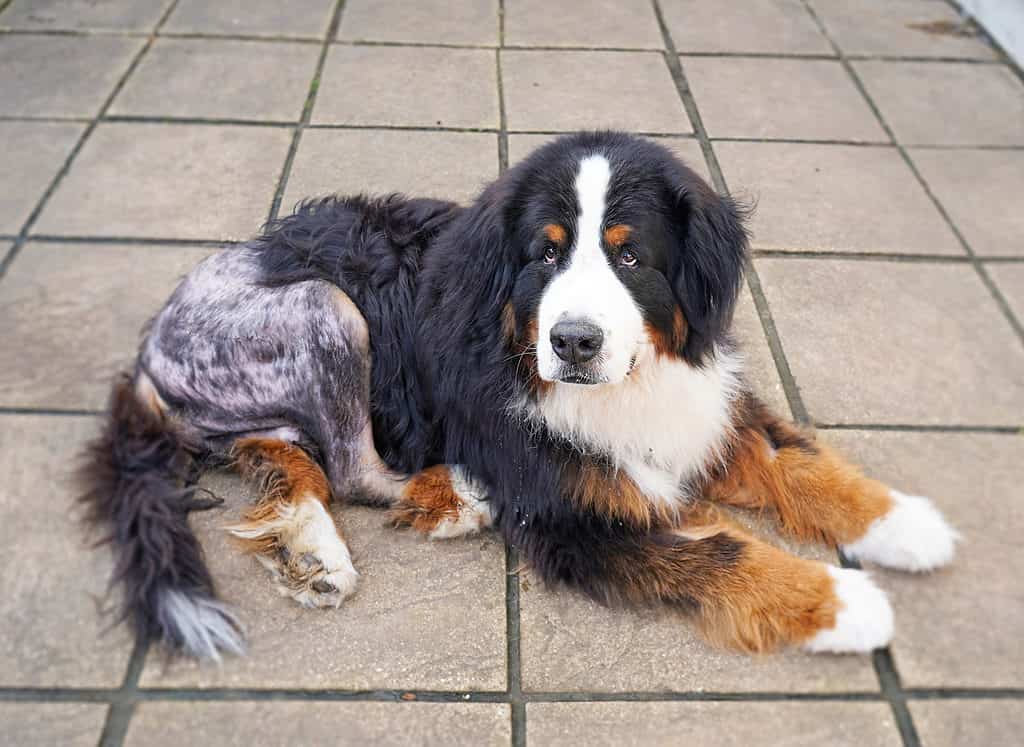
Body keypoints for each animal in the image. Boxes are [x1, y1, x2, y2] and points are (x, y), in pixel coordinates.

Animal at [79, 129, 958, 659]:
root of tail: (149, 349)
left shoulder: (702, 404)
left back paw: (311, 548)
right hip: (323, 308)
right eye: (545, 252)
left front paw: (907, 524)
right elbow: (724, 549)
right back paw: (456, 495)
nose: (573, 342)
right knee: (355, 466)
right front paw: (849, 603)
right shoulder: (570, 519)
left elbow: (796, 458)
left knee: (289, 454)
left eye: (631, 257)